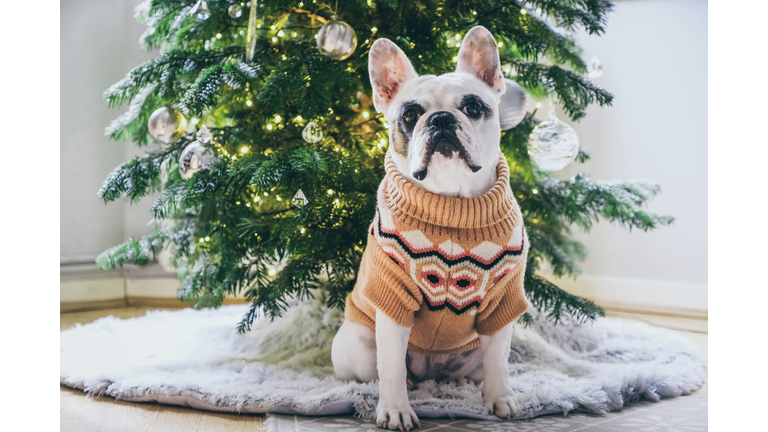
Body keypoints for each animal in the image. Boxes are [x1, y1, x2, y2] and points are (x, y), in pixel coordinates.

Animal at [332, 26, 532, 428]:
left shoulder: (501, 304)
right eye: (410, 114)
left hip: (471, 355)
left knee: (478, 367)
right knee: (382, 370)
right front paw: (395, 409)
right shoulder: (394, 301)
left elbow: (499, 363)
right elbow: (392, 367)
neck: (451, 202)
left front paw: (501, 399)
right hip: (357, 345)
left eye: (473, 107)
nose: (440, 119)